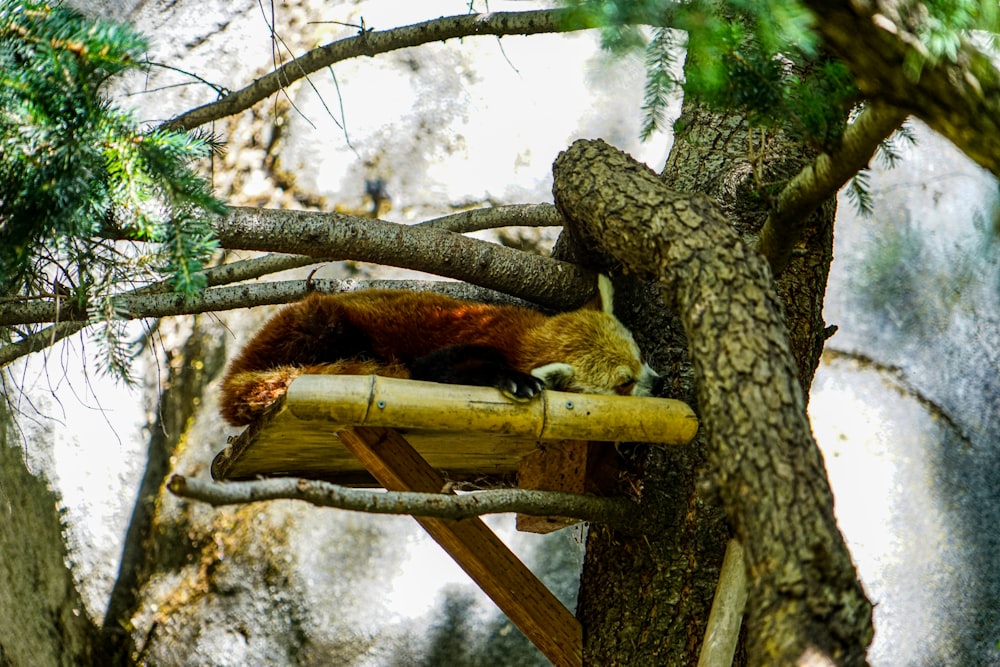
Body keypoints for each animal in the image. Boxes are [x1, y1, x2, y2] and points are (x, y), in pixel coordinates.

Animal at [217, 276, 664, 428]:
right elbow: (440, 368)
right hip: (322, 324)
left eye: (642, 356)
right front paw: (516, 381)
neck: (525, 335)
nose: (660, 383)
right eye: (624, 383)